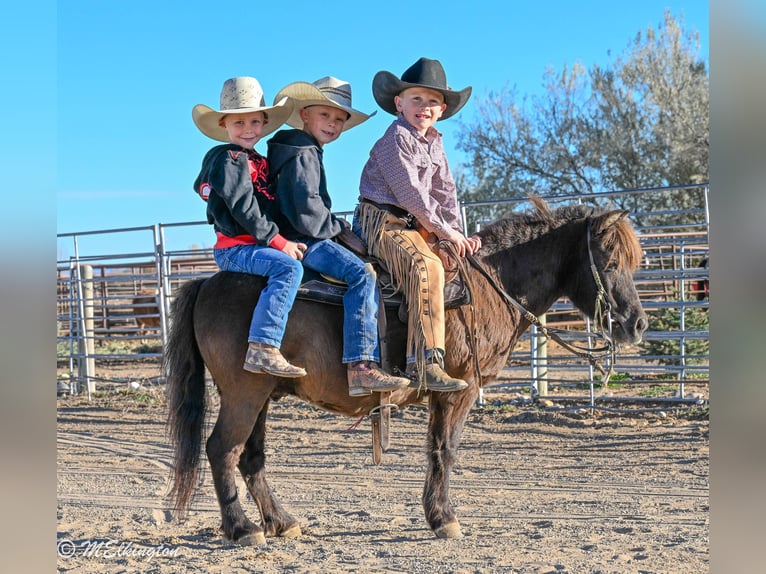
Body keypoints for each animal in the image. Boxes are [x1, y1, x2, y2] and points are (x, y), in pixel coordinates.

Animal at [165, 197, 647, 545]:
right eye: (610, 263)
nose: (638, 323)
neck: (488, 286)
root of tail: (206, 282)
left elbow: (435, 450)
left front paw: (436, 515)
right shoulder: (459, 390)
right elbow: (445, 450)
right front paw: (444, 519)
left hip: (263, 395)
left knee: (251, 457)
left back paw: (281, 521)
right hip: (244, 394)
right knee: (222, 449)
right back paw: (243, 529)